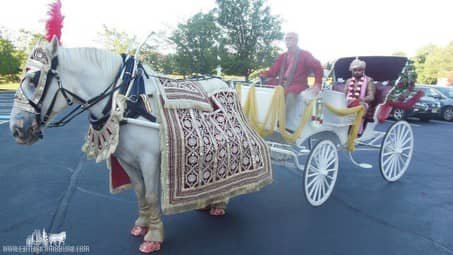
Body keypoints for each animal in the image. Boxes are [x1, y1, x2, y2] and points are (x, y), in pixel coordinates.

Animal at [8, 37, 233, 253]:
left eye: (34, 80)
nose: (17, 129)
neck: (124, 99)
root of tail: (222, 81)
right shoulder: (126, 158)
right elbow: (140, 190)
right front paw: (141, 224)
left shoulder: (149, 158)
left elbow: (152, 195)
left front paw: (154, 237)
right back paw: (208, 201)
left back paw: (220, 203)